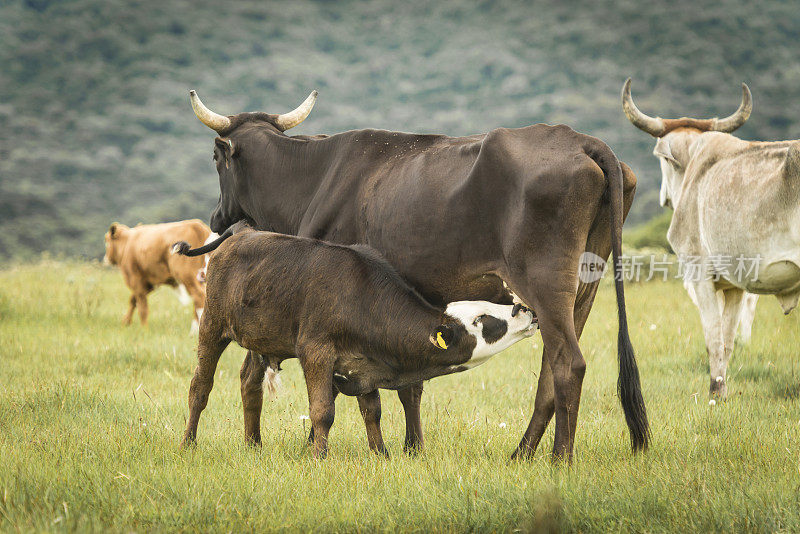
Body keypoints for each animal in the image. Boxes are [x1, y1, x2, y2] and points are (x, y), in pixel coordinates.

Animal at [184, 91, 648, 460]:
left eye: (214, 159)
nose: (215, 217)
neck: (314, 178)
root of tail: (584, 141)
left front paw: (313, 447)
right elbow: (411, 385)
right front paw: (411, 447)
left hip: (546, 285)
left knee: (568, 364)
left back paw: (559, 459)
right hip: (583, 288)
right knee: (550, 373)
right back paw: (522, 454)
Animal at [624, 78, 800, 398]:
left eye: (663, 163)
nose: (664, 198)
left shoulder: (700, 276)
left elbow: (713, 338)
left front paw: (715, 391)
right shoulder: (735, 287)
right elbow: (728, 341)